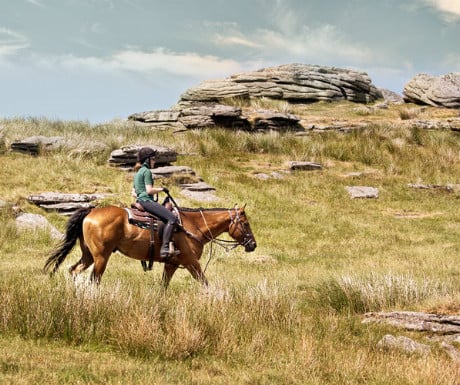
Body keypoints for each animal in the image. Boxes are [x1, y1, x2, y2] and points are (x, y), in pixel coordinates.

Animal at [45, 202, 256, 286]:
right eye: (246, 223)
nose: (253, 245)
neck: (192, 226)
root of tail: (90, 212)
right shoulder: (191, 262)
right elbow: (205, 283)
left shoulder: (172, 264)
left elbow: (163, 287)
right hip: (100, 257)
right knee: (94, 279)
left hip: (88, 255)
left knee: (74, 270)